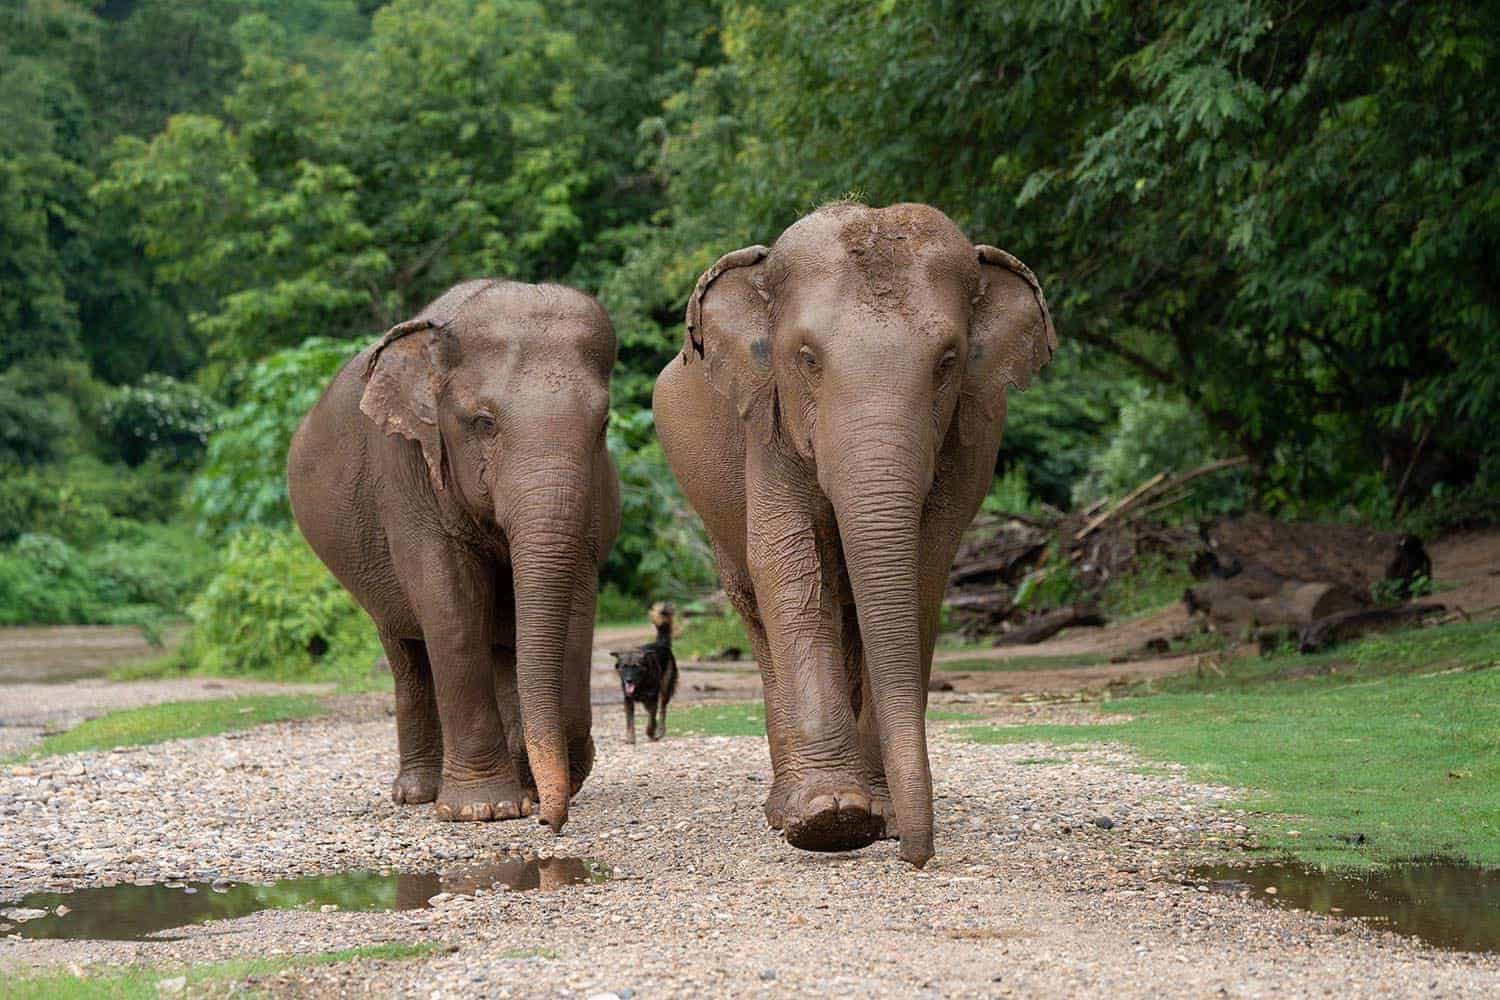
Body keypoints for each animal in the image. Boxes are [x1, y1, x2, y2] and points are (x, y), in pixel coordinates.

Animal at [288, 280, 620, 834]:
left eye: (604, 425)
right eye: (483, 423)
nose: (550, 824)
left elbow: (576, 602)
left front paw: (541, 785)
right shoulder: (405, 466)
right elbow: (450, 605)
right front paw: (484, 810)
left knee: (503, 646)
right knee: (406, 652)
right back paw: (418, 793)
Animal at [652, 202, 1055, 866]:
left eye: (948, 361)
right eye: (807, 358)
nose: (916, 856)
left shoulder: (966, 441)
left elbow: (923, 572)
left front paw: (879, 815)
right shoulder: (768, 419)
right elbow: (787, 564)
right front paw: (831, 819)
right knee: (754, 604)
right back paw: (786, 809)